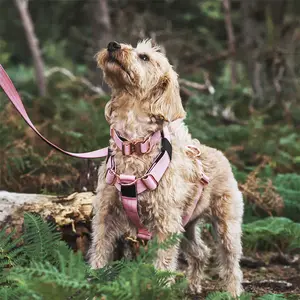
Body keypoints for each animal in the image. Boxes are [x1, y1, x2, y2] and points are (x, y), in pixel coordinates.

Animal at [87, 38, 244, 296]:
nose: (112, 45)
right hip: (186, 224)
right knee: (200, 252)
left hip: (226, 225)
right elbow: (99, 256)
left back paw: (233, 292)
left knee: (231, 263)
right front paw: (91, 285)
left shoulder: (165, 225)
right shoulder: (104, 217)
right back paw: (192, 285)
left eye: (145, 57)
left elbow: (163, 265)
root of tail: (218, 154)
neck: (133, 146)